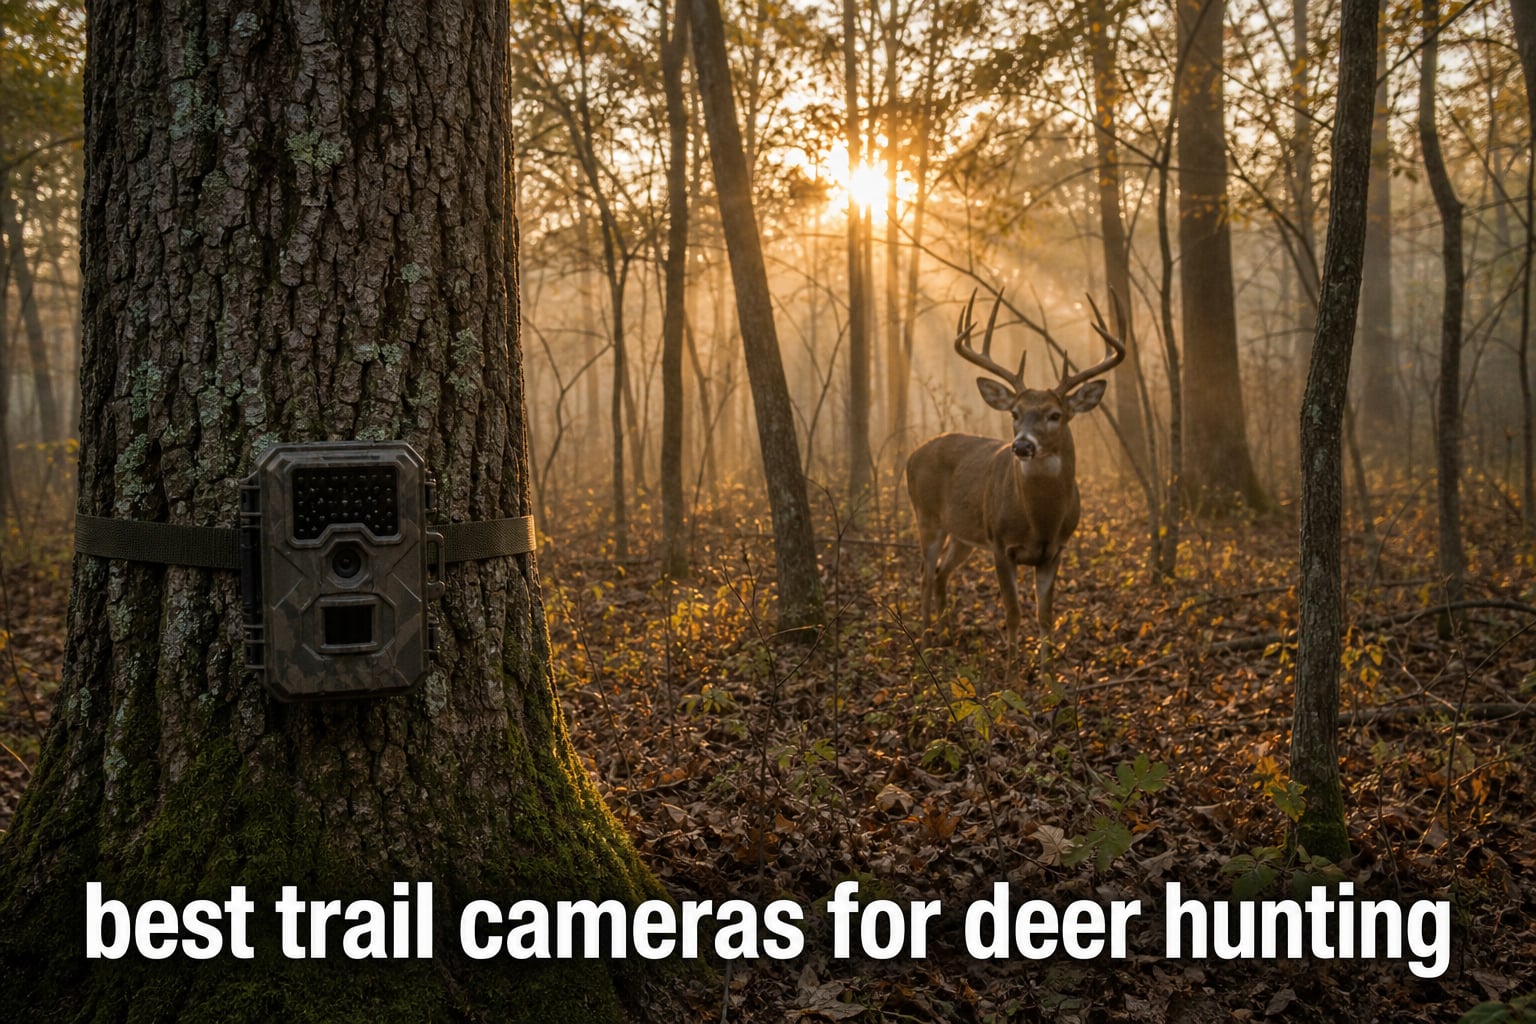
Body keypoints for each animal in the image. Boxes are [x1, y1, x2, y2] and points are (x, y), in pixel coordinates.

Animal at [905, 290, 1125, 657]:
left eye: (1055, 415)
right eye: (1014, 413)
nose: (1021, 445)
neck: (1040, 521)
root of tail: (911, 454)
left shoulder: (1055, 550)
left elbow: (1045, 616)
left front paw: (1048, 669)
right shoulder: (1000, 544)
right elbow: (1012, 614)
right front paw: (1013, 669)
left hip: (962, 533)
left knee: (940, 573)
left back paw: (947, 634)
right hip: (927, 516)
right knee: (923, 573)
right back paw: (924, 640)